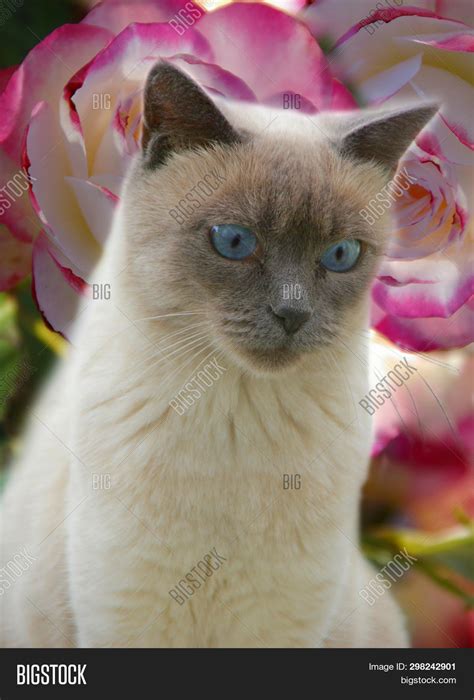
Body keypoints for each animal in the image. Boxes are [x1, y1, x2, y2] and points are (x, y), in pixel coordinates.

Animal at [0, 63, 436, 648]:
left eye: (341, 255)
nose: (292, 314)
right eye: (233, 241)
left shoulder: (281, 628)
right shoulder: (128, 621)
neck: (233, 418)